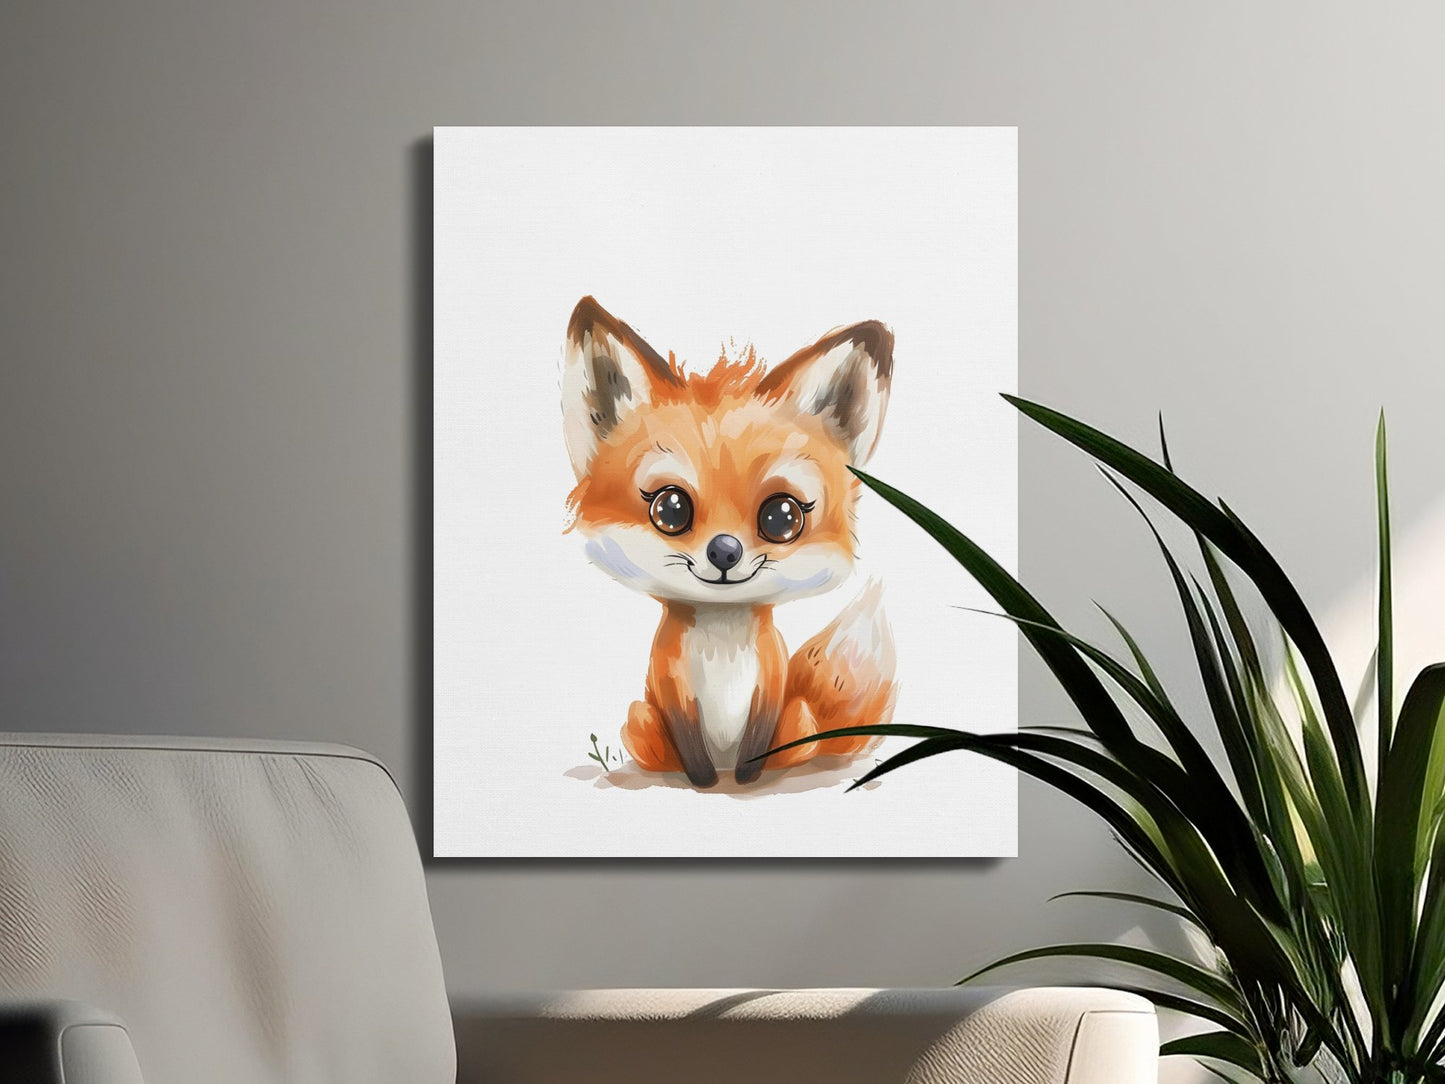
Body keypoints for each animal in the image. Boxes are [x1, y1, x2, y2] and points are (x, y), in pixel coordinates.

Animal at [561, 296, 898, 788]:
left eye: (782, 517)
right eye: (670, 509)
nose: (724, 550)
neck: (721, 642)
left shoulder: (771, 681)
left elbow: (757, 741)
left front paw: (746, 779)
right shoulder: (670, 684)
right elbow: (689, 742)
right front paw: (703, 781)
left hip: (800, 719)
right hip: (640, 720)